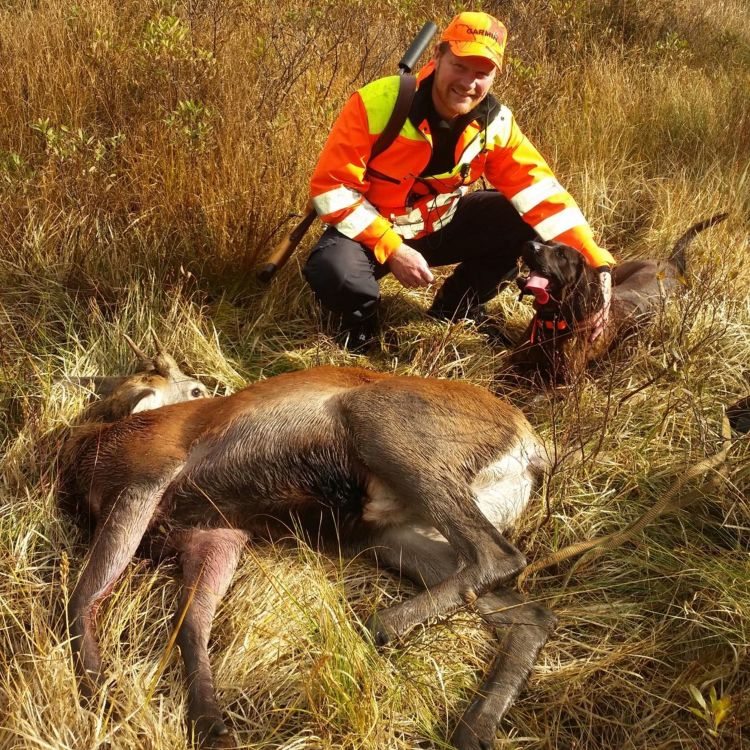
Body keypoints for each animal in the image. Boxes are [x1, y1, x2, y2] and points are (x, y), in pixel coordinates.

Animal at [61, 340, 560, 750]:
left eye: (197, 387)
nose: (219, 385)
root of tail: (534, 447)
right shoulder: (215, 533)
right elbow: (191, 624)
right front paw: (210, 724)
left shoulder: (148, 478)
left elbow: (83, 595)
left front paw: (104, 699)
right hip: (389, 536)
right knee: (530, 613)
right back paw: (473, 729)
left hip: (382, 426)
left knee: (499, 555)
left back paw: (378, 626)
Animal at [512, 216, 728, 382]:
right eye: (545, 243)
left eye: (561, 255)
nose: (529, 245)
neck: (554, 322)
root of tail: (671, 264)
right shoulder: (514, 362)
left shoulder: (565, 385)